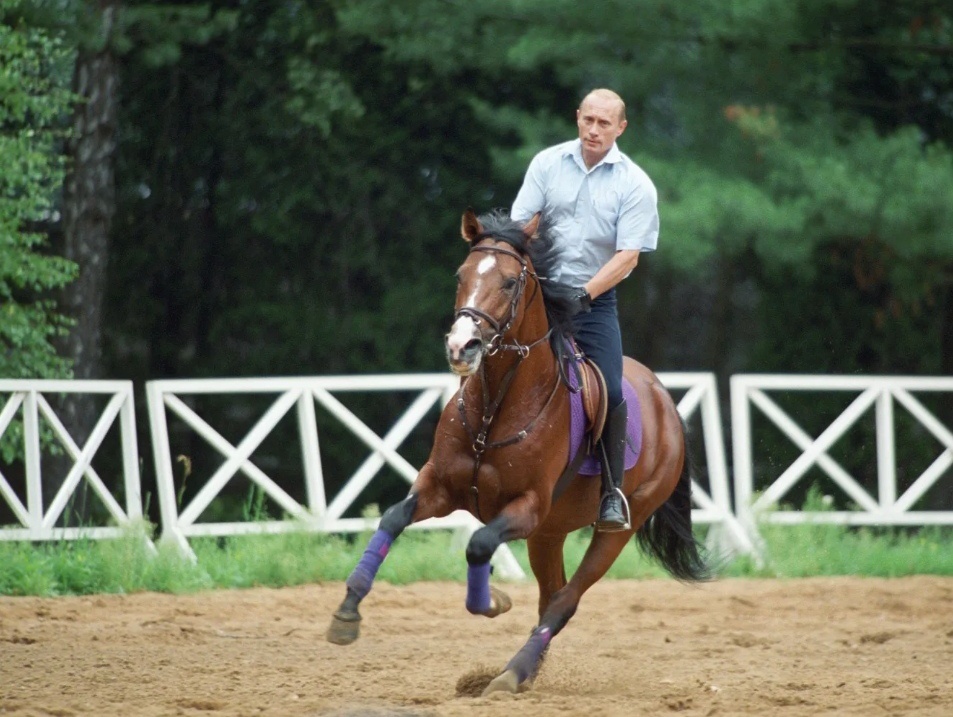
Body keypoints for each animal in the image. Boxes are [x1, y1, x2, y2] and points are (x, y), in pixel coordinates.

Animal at [328, 207, 708, 692]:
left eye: (510, 282)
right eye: (461, 275)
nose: (462, 346)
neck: (495, 409)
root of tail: (665, 401)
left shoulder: (525, 508)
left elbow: (478, 545)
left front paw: (493, 600)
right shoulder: (440, 487)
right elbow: (393, 518)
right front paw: (347, 612)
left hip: (616, 528)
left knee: (565, 600)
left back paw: (512, 673)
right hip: (549, 534)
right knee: (550, 596)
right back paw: (524, 670)